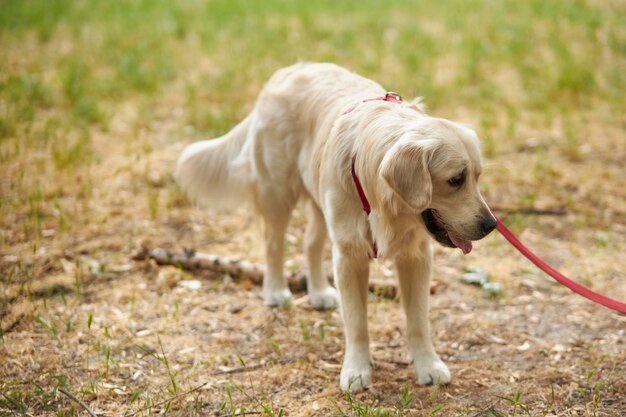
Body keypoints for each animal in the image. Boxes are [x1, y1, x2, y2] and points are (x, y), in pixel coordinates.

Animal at [177, 61, 498, 390]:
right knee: (273, 244)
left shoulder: (415, 256)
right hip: (277, 193)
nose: (492, 225)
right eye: (455, 180)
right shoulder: (350, 255)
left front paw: (428, 364)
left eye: (477, 177)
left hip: (320, 204)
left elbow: (418, 319)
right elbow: (356, 322)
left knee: (310, 244)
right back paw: (276, 291)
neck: (384, 203)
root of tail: (285, 72)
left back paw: (318, 291)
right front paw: (356, 369)